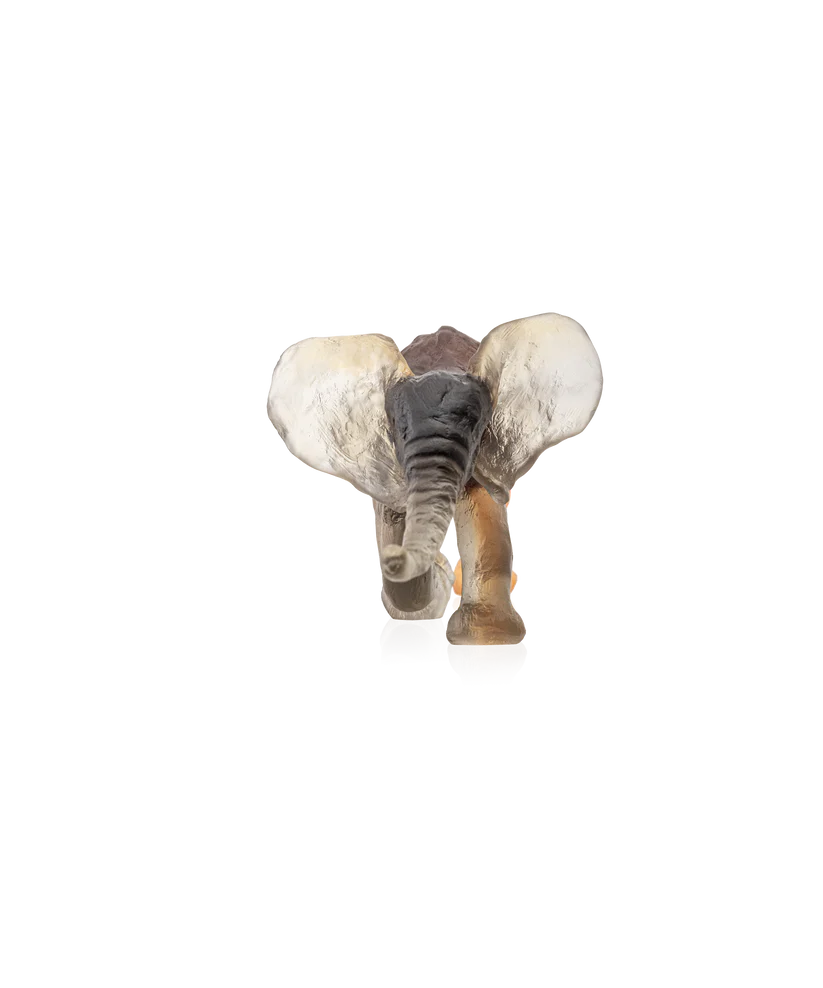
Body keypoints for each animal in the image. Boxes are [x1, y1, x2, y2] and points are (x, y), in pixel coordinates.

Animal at [267, 314, 603, 686]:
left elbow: (481, 509)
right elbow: (394, 512)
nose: (392, 558)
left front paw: (486, 636)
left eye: (477, 424)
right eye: (398, 430)